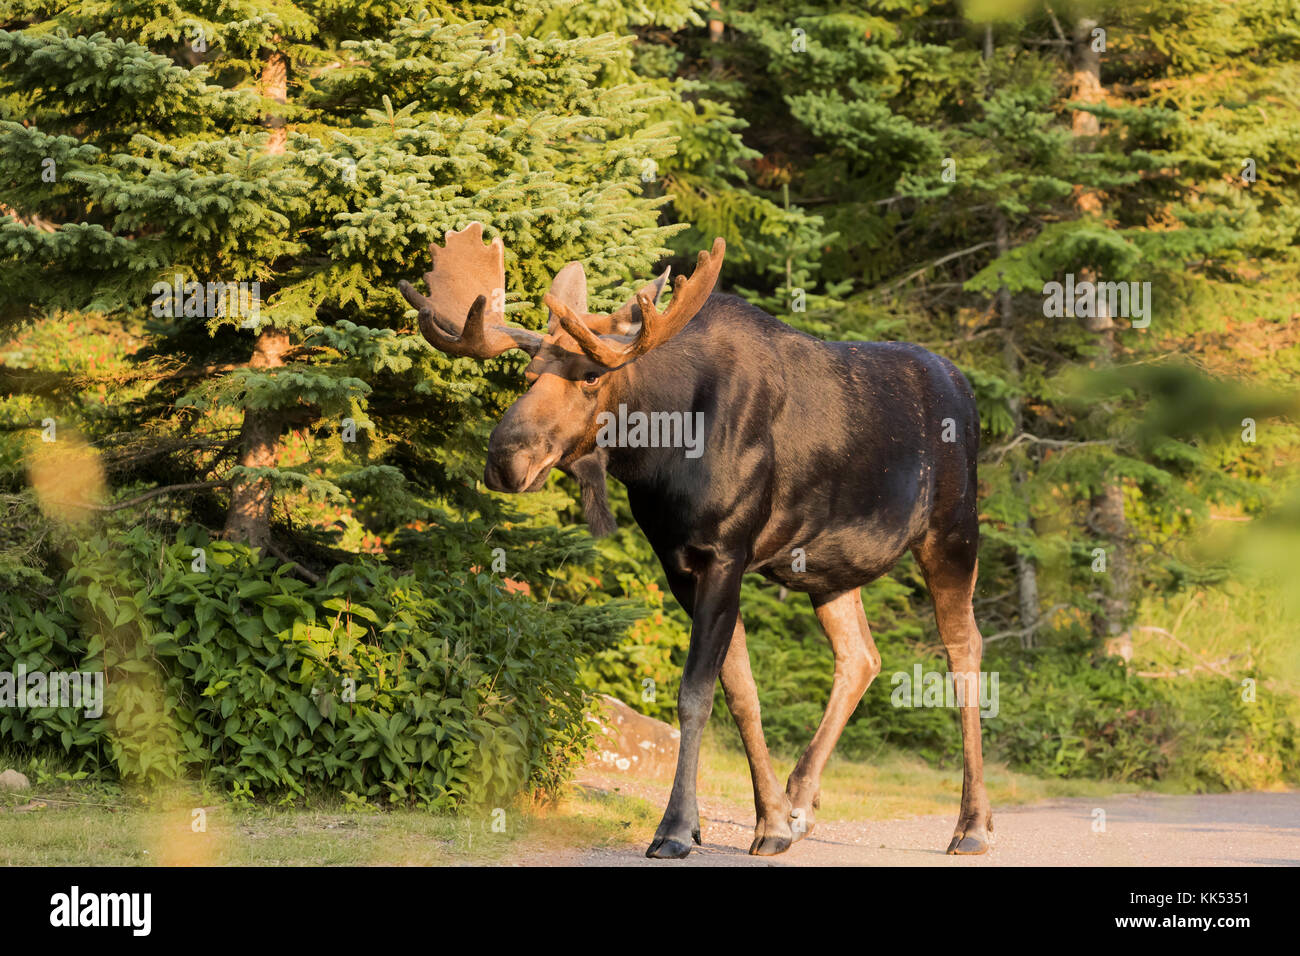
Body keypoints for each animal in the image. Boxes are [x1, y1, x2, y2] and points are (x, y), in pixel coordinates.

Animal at [400, 223, 987, 858]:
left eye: (591, 376)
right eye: (526, 378)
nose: (505, 461)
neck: (659, 450)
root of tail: (968, 391)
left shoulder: (725, 553)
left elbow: (695, 695)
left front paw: (677, 828)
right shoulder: (678, 562)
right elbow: (741, 692)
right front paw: (771, 821)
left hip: (953, 533)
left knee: (964, 651)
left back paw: (972, 825)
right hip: (827, 566)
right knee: (860, 656)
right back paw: (801, 803)